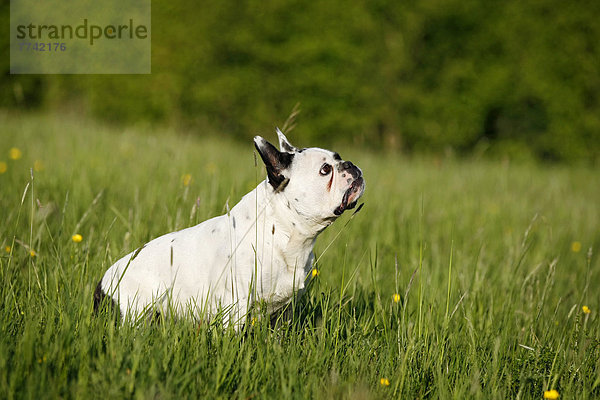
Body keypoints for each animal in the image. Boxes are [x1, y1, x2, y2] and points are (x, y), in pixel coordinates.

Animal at [94, 130, 366, 326]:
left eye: (338, 158)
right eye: (325, 170)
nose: (351, 165)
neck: (284, 232)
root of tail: (101, 286)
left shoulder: (285, 310)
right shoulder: (236, 306)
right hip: (136, 314)